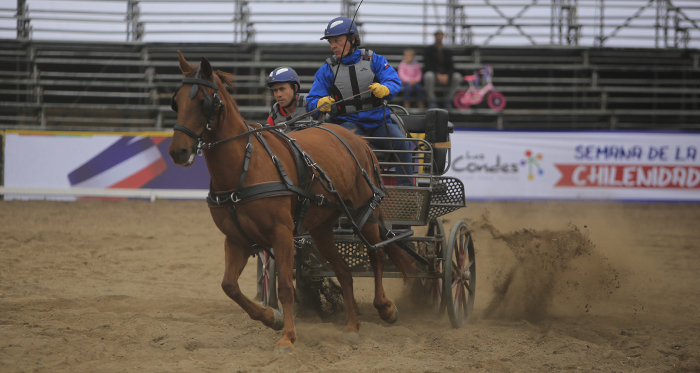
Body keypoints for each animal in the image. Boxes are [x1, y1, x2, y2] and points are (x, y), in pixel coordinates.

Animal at [167, 51, 412, 352]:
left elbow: (284, 287)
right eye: (177, 101)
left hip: (364, 212)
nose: (177, 151)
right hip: (321, 228)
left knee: (377, 255)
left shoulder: (281, 234)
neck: (244, 167)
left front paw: (287, 338)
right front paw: (272, 318)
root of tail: (358, 140)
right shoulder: (236, 238)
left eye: (203, 101)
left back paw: (385, 308)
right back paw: (352, 327)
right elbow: (229, 286)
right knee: (344, 271)